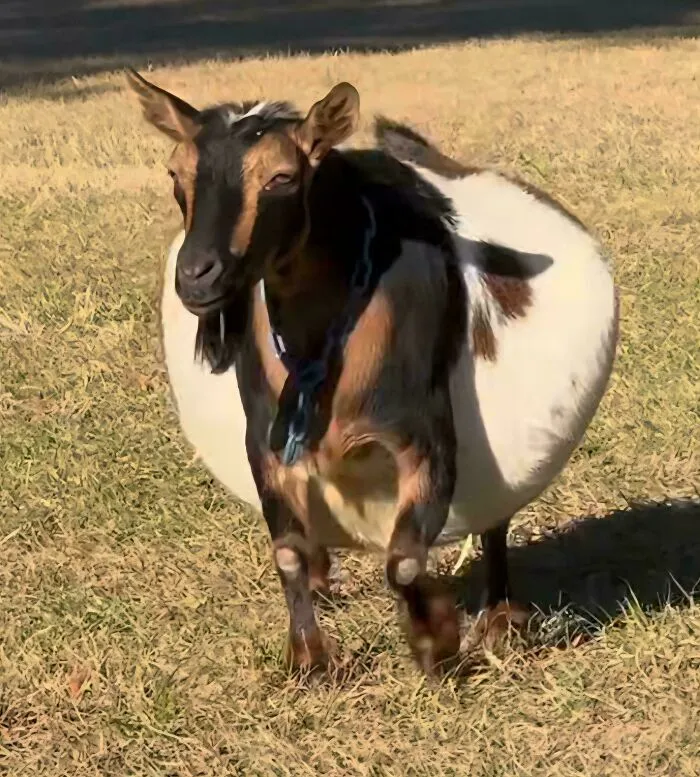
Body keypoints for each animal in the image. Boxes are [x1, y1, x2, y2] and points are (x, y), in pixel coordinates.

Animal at [128, 70, 619, 676]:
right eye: (176, 173)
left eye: (282, 178)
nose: (197, 276)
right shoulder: (265, 443)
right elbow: (288, 553)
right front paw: (311, 659)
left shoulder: (425, 440)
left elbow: (403, 561)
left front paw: (436, 640)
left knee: (495, 518)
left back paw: (501, 619)